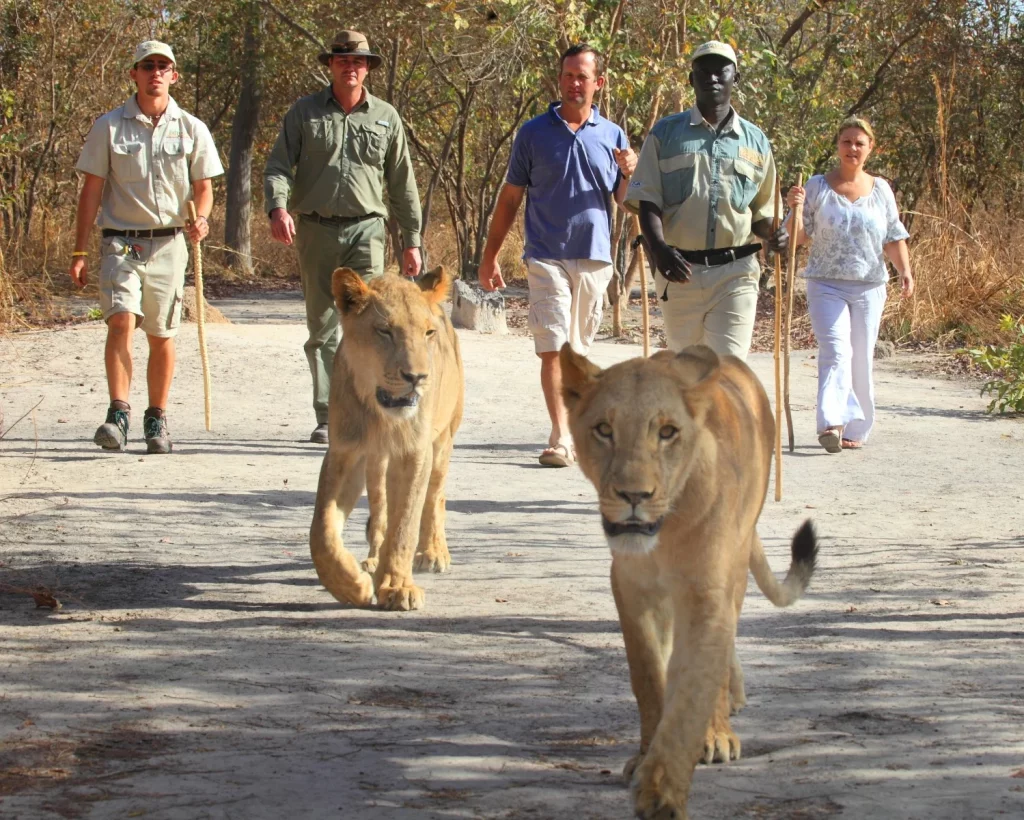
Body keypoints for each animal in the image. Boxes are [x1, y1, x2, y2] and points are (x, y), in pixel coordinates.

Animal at [309, 267, 464, 612]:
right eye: (384, 331)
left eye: (428, 333)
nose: (416, 377)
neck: (382, 417)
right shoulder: (345, 451)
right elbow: (322, 530)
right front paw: (350, 585)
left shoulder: (415, 452)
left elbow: (405, 521)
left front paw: (398, 586)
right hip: (376, 460)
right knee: (379, 508)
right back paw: (372, 560)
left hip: (444, 438)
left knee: (435, 497)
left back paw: (432, 553)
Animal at [560, 342, 818, 820]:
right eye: (604, 429)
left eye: (667, 432)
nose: (634, 496)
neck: (666, 532)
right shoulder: (631, 587)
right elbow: (647, 675)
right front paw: (646, 756)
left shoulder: (706, 591)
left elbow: (692, 692)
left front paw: (663, 790)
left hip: (736, 562)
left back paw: (719, 728)